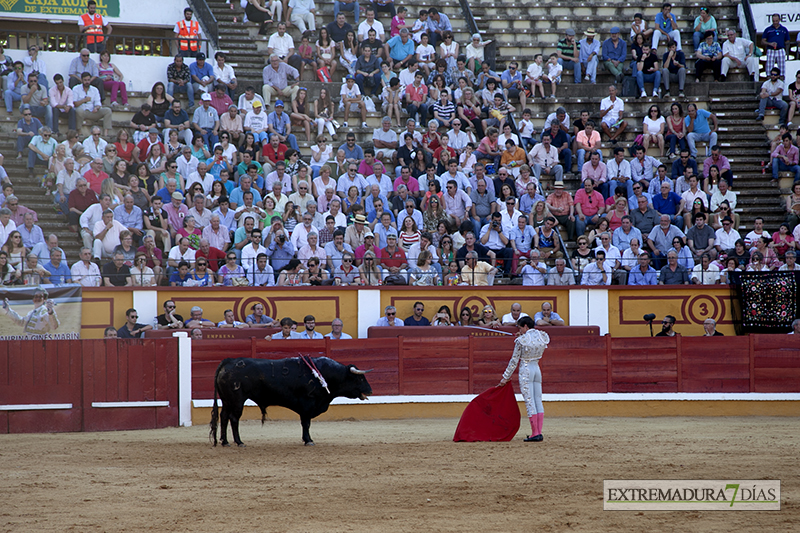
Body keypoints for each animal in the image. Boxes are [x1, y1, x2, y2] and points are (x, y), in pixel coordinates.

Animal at [208, 358, 374, 444]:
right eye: (360, 378)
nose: (371, 391)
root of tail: (228, 362)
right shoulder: (307, 405)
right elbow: (306, 423)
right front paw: (308, 440)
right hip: (237, 400)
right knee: (234, 418)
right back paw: (239, 442)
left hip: (227, 400)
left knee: (224, 417)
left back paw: (224, 441)